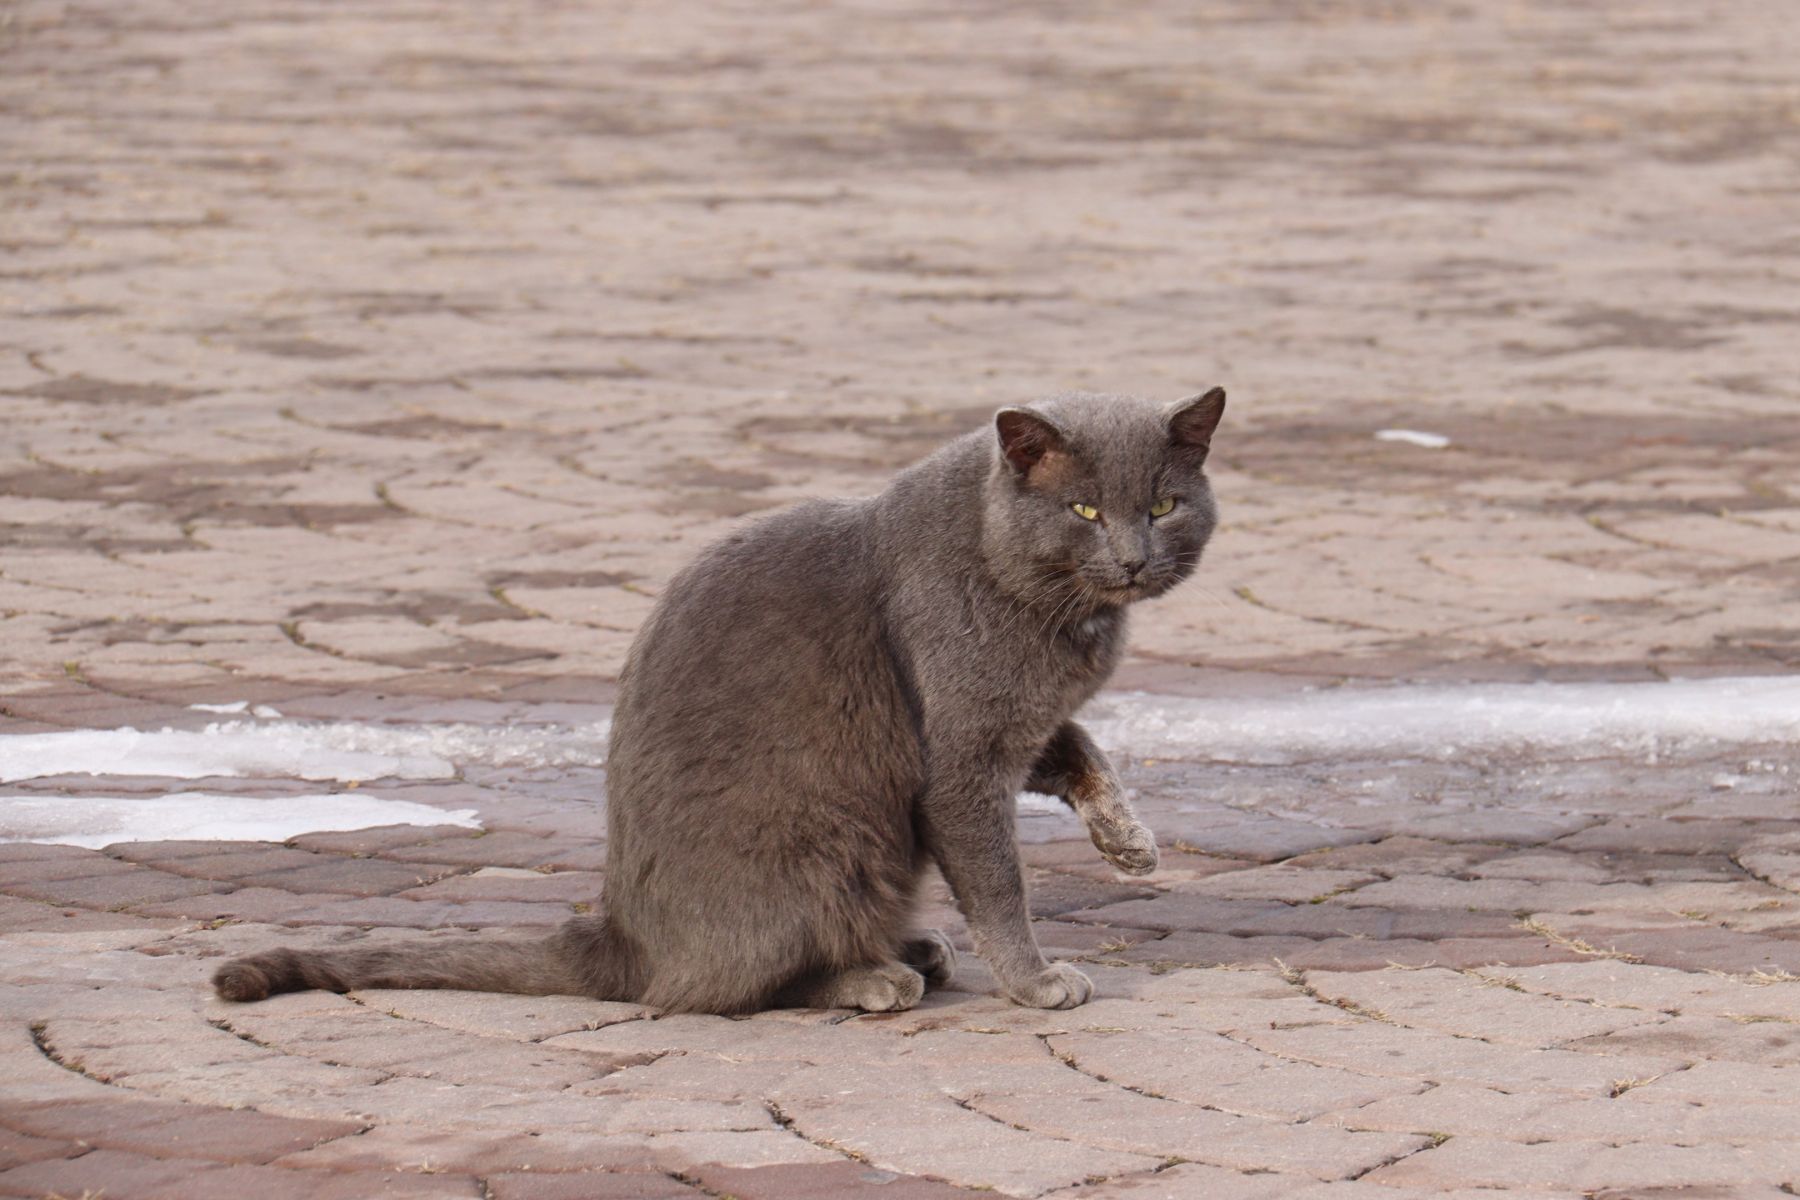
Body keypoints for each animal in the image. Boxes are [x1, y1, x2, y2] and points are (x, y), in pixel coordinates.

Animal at [210, 394, 1224, 1014]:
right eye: (1085, 511)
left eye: (1164, 505)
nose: (1133, 557)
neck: (1062, 611)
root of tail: (617, 937)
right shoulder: (961, 753)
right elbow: (1000, 882)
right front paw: (1036, 981)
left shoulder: (1022, 719)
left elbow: (1082, 745)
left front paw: (1129, 841)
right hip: (833, 838)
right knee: (723, 987)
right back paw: (875, 976)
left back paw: (913, 954)